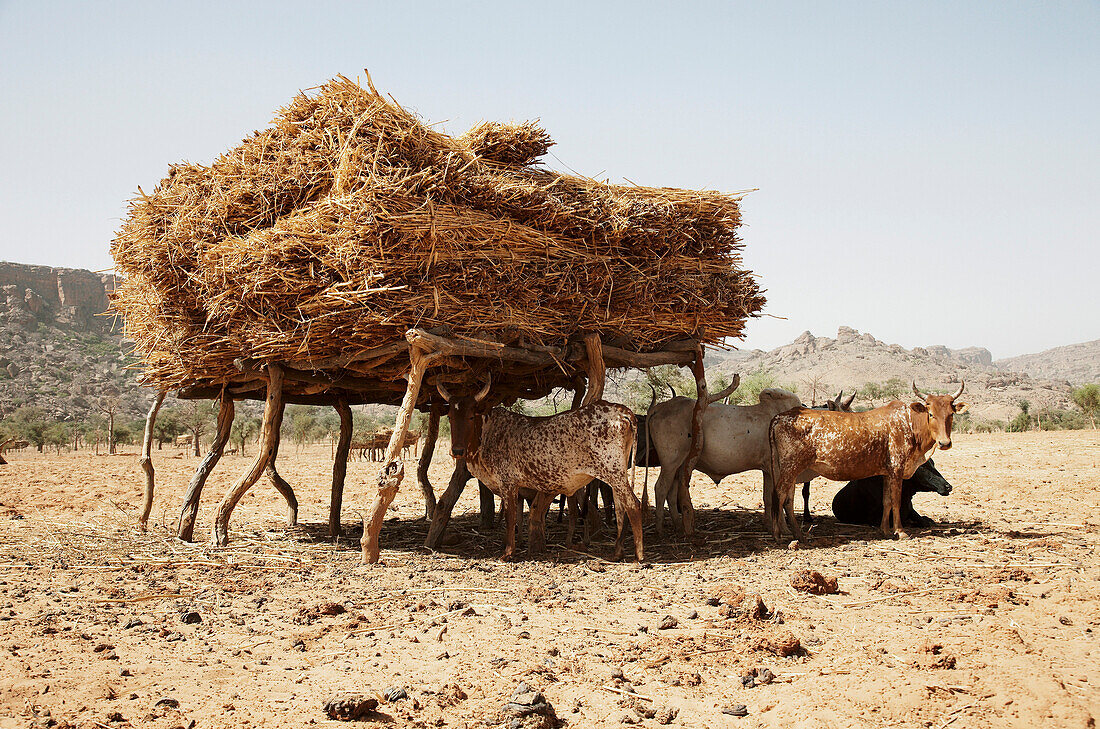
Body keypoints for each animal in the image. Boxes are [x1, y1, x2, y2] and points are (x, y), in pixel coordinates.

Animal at [440, 378, 642, 560]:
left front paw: (508, 552)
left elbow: (510, 517)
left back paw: (638, 556)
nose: (457, 451)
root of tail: (621, 411)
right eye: (450, 417)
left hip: (614, 473)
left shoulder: (508, 483)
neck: (487, 433)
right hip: (616, 476)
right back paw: (617, 553)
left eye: (471, 416)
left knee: (633, 505)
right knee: (620, 509)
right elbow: (517, 518)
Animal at [770, 382, 968, 540]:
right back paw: (780, 534)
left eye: (951, 414)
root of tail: (780, 416)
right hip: (791, 467)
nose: (945, 443)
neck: (909, 424)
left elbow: (887, 501)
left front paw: (885, 530)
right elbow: (896, 501)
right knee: (780, 494)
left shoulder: (888, 473)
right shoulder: (897, 470)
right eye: (931, 413)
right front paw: (900, 531)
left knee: (786, 497)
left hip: (789, 470)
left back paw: (795, 533)